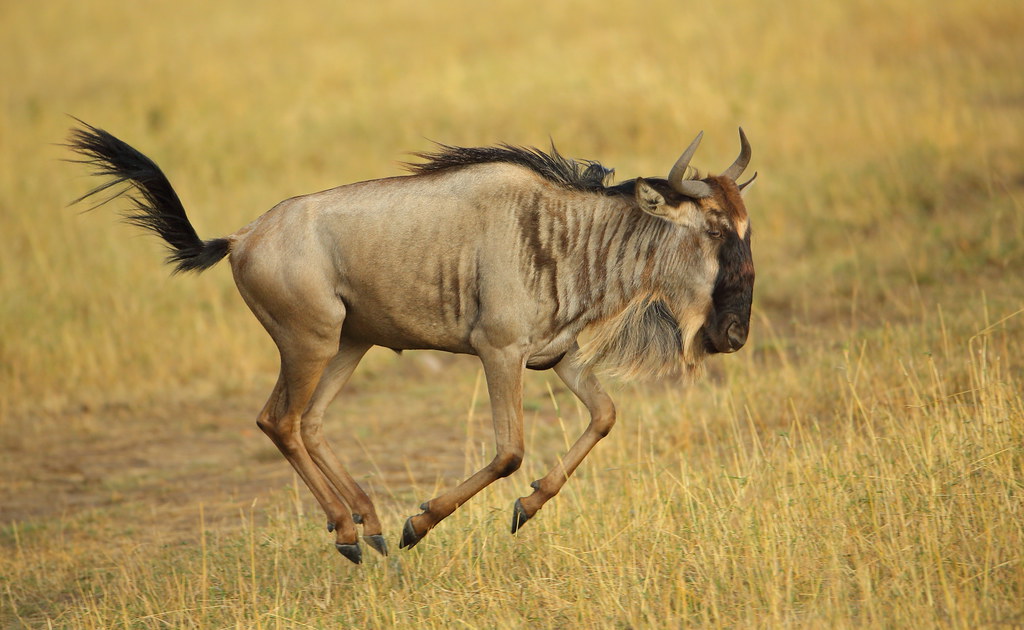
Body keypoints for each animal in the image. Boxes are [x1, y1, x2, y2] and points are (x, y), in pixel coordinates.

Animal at [69, 122, 756, 564]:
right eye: (713, 230)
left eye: (747, 229)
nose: (734, 334)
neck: (566, 235)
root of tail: (240, 238)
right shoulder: (499, 352)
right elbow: (509, 451)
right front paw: (419, 524)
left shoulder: (557, 357)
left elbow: (605, 417)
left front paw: (527, 507)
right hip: (310, 342)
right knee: (279, 420)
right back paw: (350, 534)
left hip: (349, 344)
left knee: (310, 422)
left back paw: (365, 523)